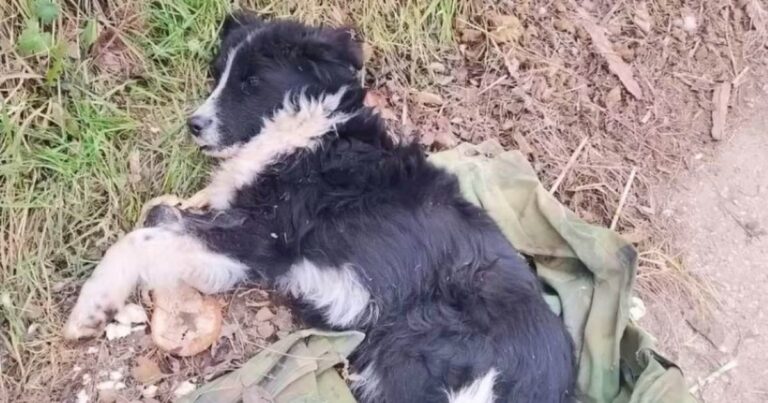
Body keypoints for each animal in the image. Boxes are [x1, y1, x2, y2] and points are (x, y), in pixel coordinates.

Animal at [64, 12, 568, 403]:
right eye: (217, 75)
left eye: (251, 83)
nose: (194, 126)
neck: (304, 131)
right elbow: (163, 217)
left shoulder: (260, 239)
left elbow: (139, 238)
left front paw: (90, 309)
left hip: (427, 356)